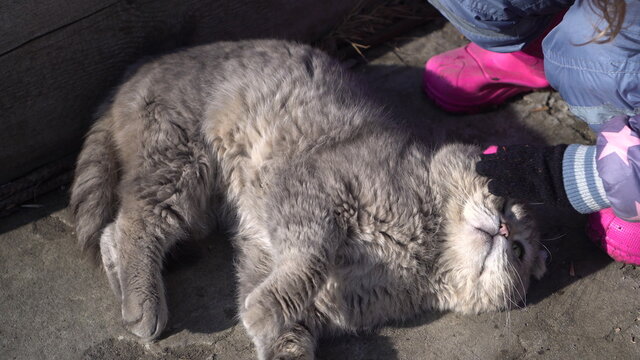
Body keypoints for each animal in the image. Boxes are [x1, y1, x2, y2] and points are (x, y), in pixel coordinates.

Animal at [72, 40, 548, 360]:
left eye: (519, 251)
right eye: (504, 202)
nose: (504, 228)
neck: (426, 247)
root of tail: (142, 67)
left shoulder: (274, 263)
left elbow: (285, 319)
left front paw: (272, 327)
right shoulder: (312, 197)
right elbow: (309, 264)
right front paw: (266, 310)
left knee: (114, 233)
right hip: (180, 162)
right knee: (134, 225)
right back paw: (142, 301)